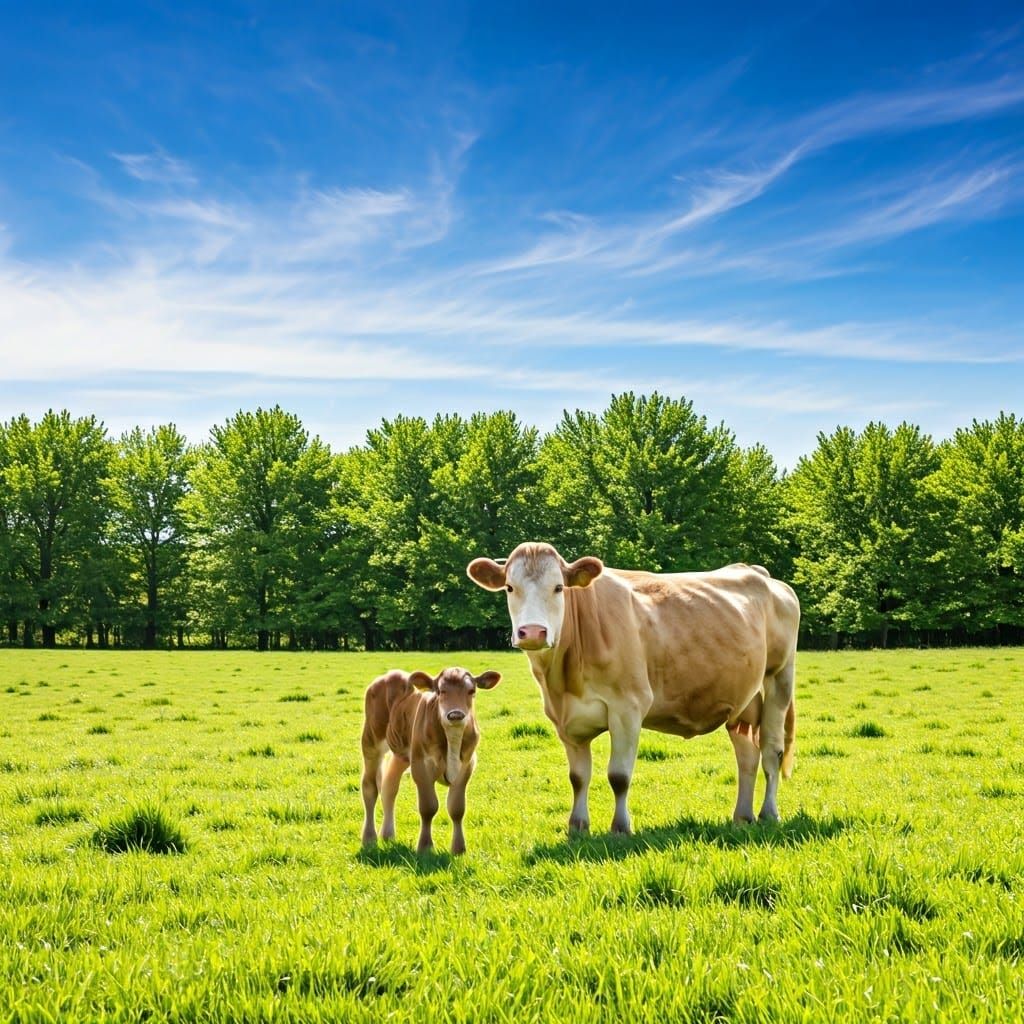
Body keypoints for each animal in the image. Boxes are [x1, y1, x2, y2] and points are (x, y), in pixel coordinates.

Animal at [361, 666, 501, 854]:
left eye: (471, 691)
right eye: (441, 691)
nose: (455, 715)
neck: (452, 743)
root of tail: (390, 674)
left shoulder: (467, 766)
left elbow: (457, 808)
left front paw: (458, 848)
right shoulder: (421, 766)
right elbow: (428, 807)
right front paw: (425, 847)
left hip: (402, 753)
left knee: (389, 787)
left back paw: (388, 835)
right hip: (371, 740)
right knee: (370, 787)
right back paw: (369, 838)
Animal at [467, 543, 799, 834]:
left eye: (559, 587)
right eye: (510, 588)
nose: (533, 632)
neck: (563, 679)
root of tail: (759, 573)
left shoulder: (628, 707)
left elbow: (619, 776)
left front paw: (620, 827)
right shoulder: (565, 718)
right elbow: (578, 777)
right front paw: (577, 827)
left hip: (779, 679)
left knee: (771, 751)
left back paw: (769, 814)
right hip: (743, 699)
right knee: (747, 756)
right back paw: (742, 817)